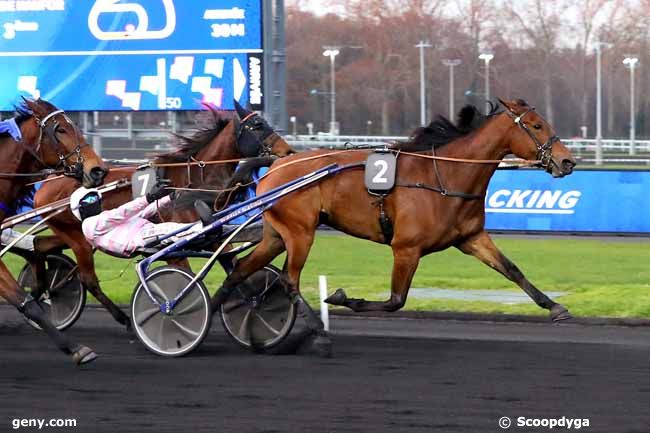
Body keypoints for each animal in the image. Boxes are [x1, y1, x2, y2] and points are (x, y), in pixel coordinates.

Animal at [32, 104, 292, 328]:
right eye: (257, 125)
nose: (288, 151)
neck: (194, 182)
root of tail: (48, 182)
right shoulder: (175, 249)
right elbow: (186, 279)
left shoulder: (214, 237)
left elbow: (234, 266)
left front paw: (254, 302)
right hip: (80, 240)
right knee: (87, 278)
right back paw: (120, 318)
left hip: (69, 235)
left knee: (40, 245)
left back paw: (42, 289)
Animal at [213, 99, 576, 350]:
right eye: (536, 125)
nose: (567, 160)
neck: (444, 176)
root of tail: (277, 165)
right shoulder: (406, 248)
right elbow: (395, 300)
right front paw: (344, 298)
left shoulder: (472, 237)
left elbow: (512, 269)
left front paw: (555, 307)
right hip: (301, 232)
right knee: (289, 281)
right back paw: (317, 331)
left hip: (277, 234)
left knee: (242, 268)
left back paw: (211, 307)